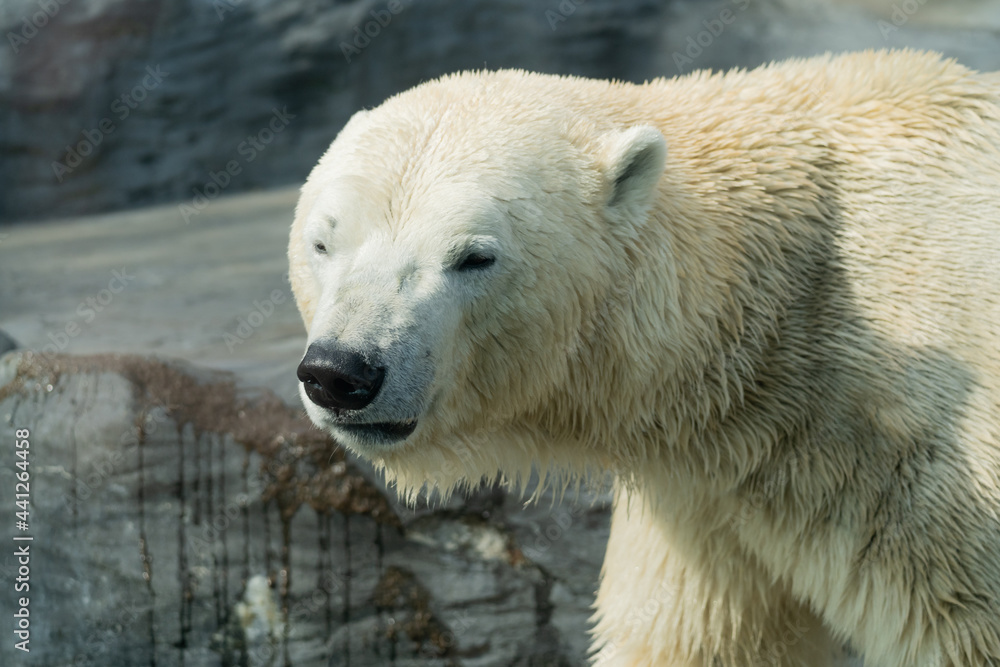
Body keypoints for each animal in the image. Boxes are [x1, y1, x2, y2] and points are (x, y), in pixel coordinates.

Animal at [288, 49, 1000, 666]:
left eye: (474, 256)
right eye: (323, 242)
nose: (342, 372)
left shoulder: (927, 482)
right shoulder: (708, 500)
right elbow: (701, 638)